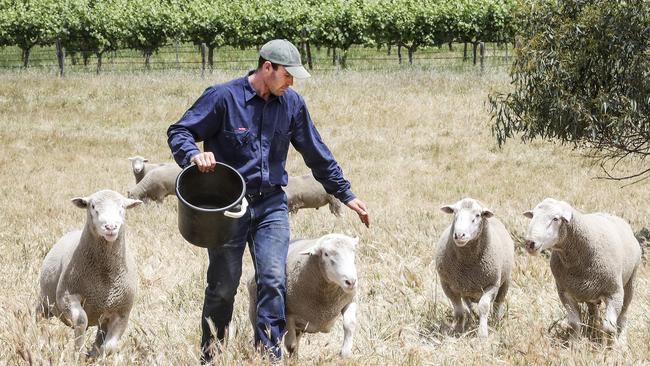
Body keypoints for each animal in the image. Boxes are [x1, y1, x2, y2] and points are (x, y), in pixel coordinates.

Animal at [37, 190, 141, 356]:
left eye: (122, 206)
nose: (110, 227)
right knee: (40, 318)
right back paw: (40, 342)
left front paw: (96, 355)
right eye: (92, 206)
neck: (104, 275)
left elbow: (109, 347)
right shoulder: (67, 296)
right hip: (45, 300)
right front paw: (78, 352)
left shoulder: (122, 311)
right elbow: (81, 320)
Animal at [432, 197, 512, 338]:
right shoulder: (447, 285)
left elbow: (484, 307)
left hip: (505, 281)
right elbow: (459, 311)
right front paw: (457, 331)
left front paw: (482, 334)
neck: (467, 266)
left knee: (498, 303)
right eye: (454, 212)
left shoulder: (492, 285)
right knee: (468, 306)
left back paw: (496, 322)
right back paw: (470, 319)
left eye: (478, 215)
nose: (459, 235)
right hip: (466, 288)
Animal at [520, 199, 636, 342]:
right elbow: (574, 324)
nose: (530, 243)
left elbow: (609, 328)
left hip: (630, 281)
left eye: (555, 218)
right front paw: (574, 344)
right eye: (533, 216)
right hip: (590, 292)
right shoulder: (565, 293)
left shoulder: (614, 293)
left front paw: (610, 345)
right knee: (593, 312)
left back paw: (622, 340)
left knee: (623, 315)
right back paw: (593, 330)